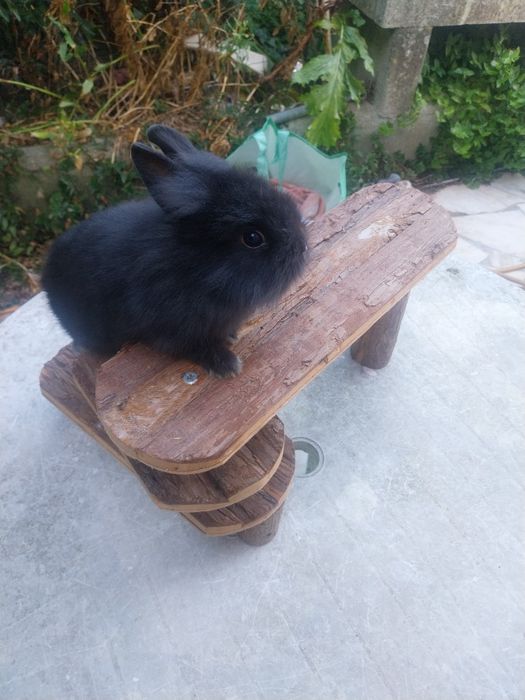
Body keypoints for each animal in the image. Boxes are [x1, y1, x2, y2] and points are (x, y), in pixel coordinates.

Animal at [42, 124, 308, 377]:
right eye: (253, 238)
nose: (303, 248)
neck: (196, 268)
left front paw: (231, 335)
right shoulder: (173, 331)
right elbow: (195, 347)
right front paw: (227, 365)